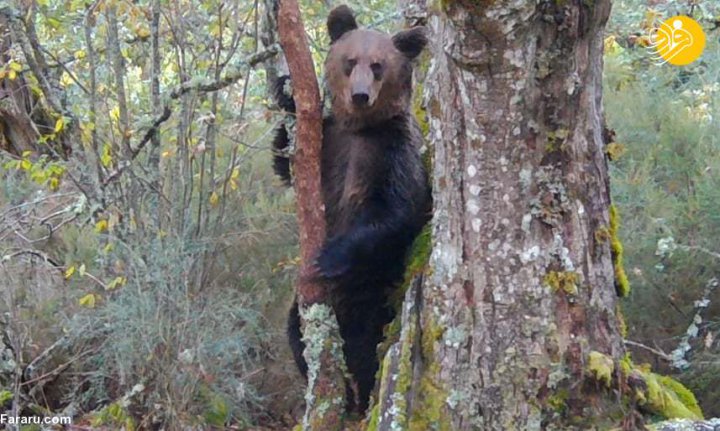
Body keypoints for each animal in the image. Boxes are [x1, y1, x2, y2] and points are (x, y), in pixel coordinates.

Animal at [270, 4, 428, 416]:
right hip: (305, 308)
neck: (359, 129)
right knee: (295, 331)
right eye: (350, 61)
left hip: (375, 293)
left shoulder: (393, 152)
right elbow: (284, 162)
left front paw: (329, 255)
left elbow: (397, 211)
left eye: (378, 65)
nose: (360, 95)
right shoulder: (329, 143)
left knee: (368, 345)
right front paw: (285, 92)